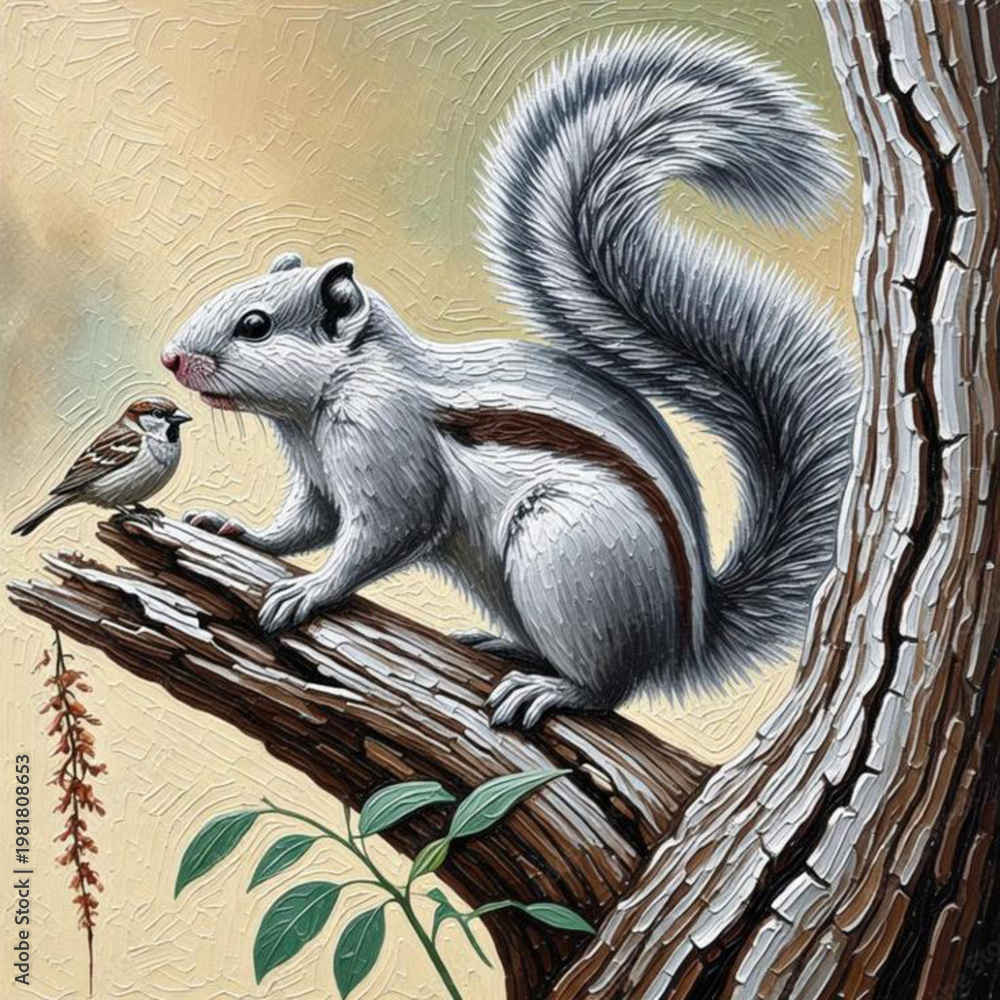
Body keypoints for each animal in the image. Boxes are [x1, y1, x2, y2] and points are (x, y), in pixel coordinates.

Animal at [163, 31, 856, 729]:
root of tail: (688, 637)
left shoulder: (390, 446)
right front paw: (238, 529)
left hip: (564, 558)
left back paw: (552, 689)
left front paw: (310, 589)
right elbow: (306, 524)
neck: (329, 395)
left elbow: (384, 532)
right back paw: (502, 645)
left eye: (255, 325)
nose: (171, 358)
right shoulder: (316, 476)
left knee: (611, 687)